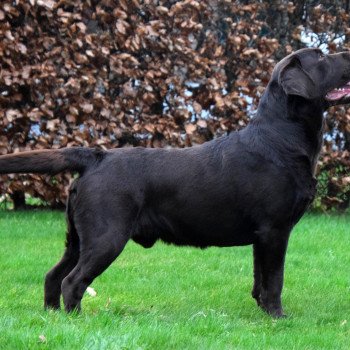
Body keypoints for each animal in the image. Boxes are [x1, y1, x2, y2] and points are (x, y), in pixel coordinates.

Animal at [0, 49, 350, 318]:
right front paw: (278, 317)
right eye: (320, 57)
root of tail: (97, 156)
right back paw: (76, 319)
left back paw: (52, 317)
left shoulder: (261, 236)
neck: (280, 139)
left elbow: (259, 279)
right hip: (106, 236)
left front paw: (264, 313)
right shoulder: (275, 230)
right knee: (72, 281)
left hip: (77, 237)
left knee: (53, 275)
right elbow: (274, 280)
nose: (346, 52)